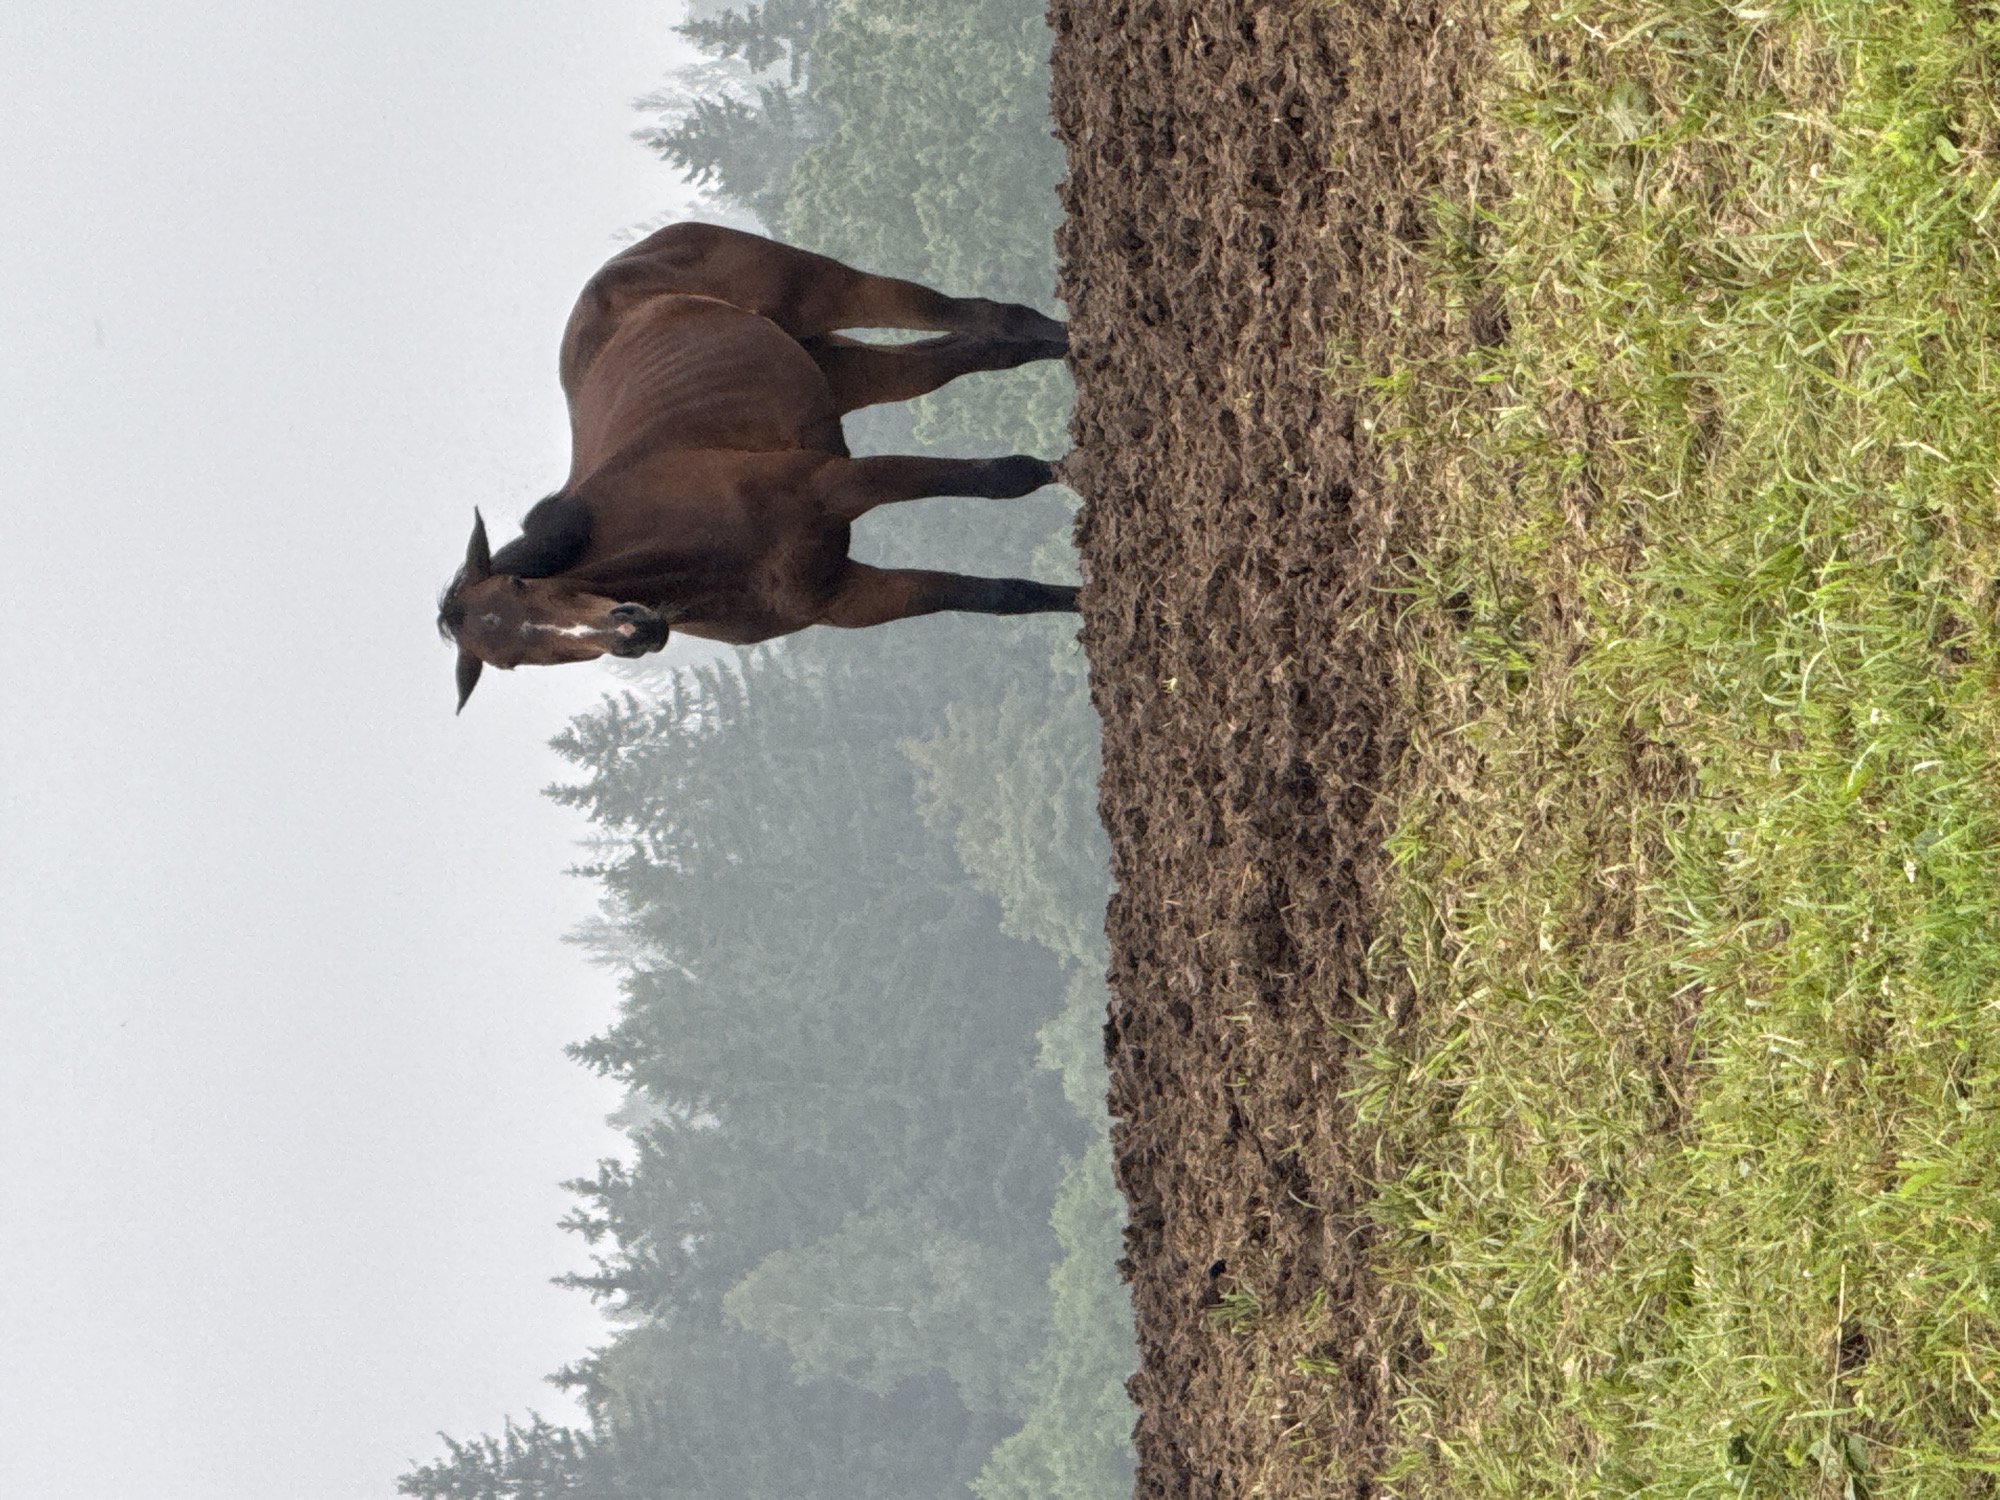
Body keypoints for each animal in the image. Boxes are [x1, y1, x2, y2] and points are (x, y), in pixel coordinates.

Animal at [438, 222, 1079, 712]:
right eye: (514, 661)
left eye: (520, 583)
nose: (632, 629)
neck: (704, 550)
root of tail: (632, 254)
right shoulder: (851, 598)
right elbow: (1003, 596)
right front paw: (1082, 604)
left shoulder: (837, 484)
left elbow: (1000, 479)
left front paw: (1070, 474)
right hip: (846, 371)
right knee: (973, 350)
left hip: (831, 291)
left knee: (979, 317)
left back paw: (1076, 342)